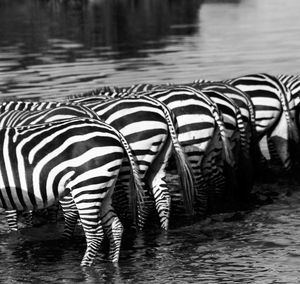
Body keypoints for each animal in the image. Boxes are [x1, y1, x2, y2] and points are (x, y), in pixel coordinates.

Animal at [0, 117, 144, 266]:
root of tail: (112, 130)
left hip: (87, 186)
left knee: (95, 235)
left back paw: (84, 267)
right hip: (105, 189)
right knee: (115, 227)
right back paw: (113, 263)